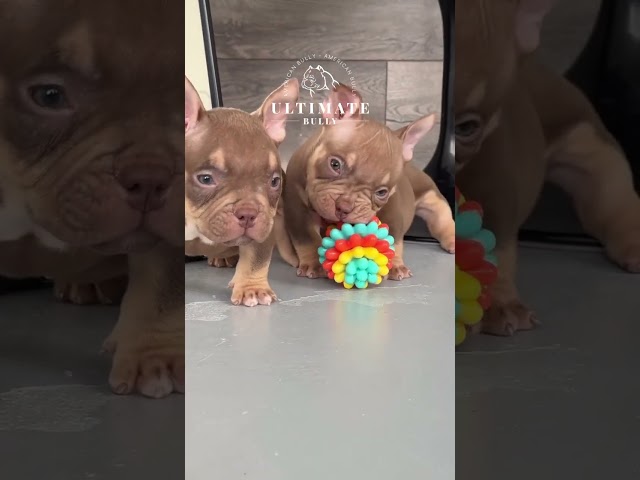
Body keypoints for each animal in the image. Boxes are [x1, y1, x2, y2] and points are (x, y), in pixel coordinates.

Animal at [184, 77, 299, 306]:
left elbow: (256, 260)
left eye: (274, 181)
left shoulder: (265, 227)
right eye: (205, 179)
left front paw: (252, 289)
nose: (248, 213)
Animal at [278, 83, 455, 279]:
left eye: (382, 192)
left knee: (442, 218)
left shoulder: (392, 208)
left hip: (432, 197)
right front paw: (314, 263)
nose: (344, 207)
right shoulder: (298, 207)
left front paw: (395, 264)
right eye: (335, 164)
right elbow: (307, 237)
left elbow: (393, 237)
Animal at [456, 0, 640, 335]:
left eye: (466, 127)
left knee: (610, 200)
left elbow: (496, 240)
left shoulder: (494, 179)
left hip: (590, 144)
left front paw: (501, 303)